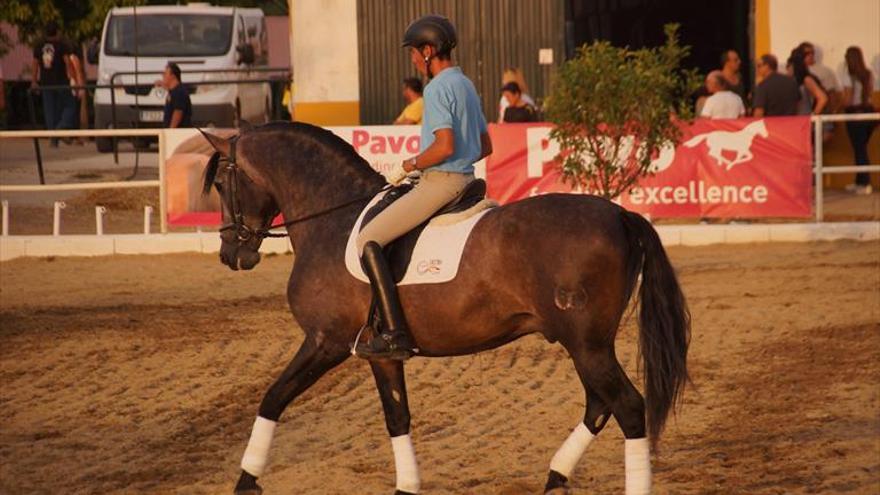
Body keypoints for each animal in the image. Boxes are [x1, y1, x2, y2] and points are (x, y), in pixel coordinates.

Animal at [199, 121, 688, 495]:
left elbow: (273, 397)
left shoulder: (326, 341)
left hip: (586, 345)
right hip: (588, 344)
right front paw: (407, 485)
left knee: (628, 408)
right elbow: (397, 416)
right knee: (600, 405)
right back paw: (554, 477)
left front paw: (246, 479)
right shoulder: (378, 354)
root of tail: (620, 215)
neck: (331, 220)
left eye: (222, 184)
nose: (232, 254)